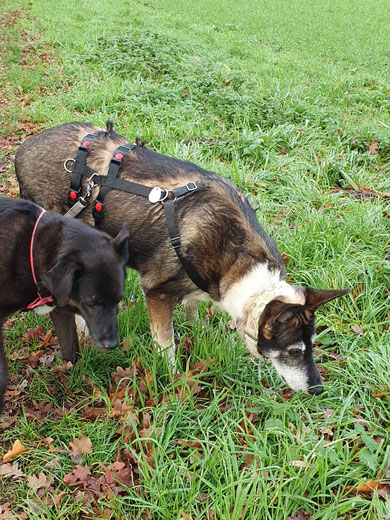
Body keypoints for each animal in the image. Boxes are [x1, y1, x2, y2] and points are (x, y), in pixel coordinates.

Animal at [0, 196, 129, 410]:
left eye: (118, 300)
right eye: (92, 303)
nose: (111, 344)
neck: (31, 247)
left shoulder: (61, 310)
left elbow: (71, 353)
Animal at [16, 123, 350, 394]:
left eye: (313, 346)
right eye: (293, 352)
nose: (318, 390)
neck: (241, 263)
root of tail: (23, 149)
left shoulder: (198, 289)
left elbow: (193, 312)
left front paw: (198, 332)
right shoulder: (157, 294)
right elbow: (167, 347)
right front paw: (174, 379)